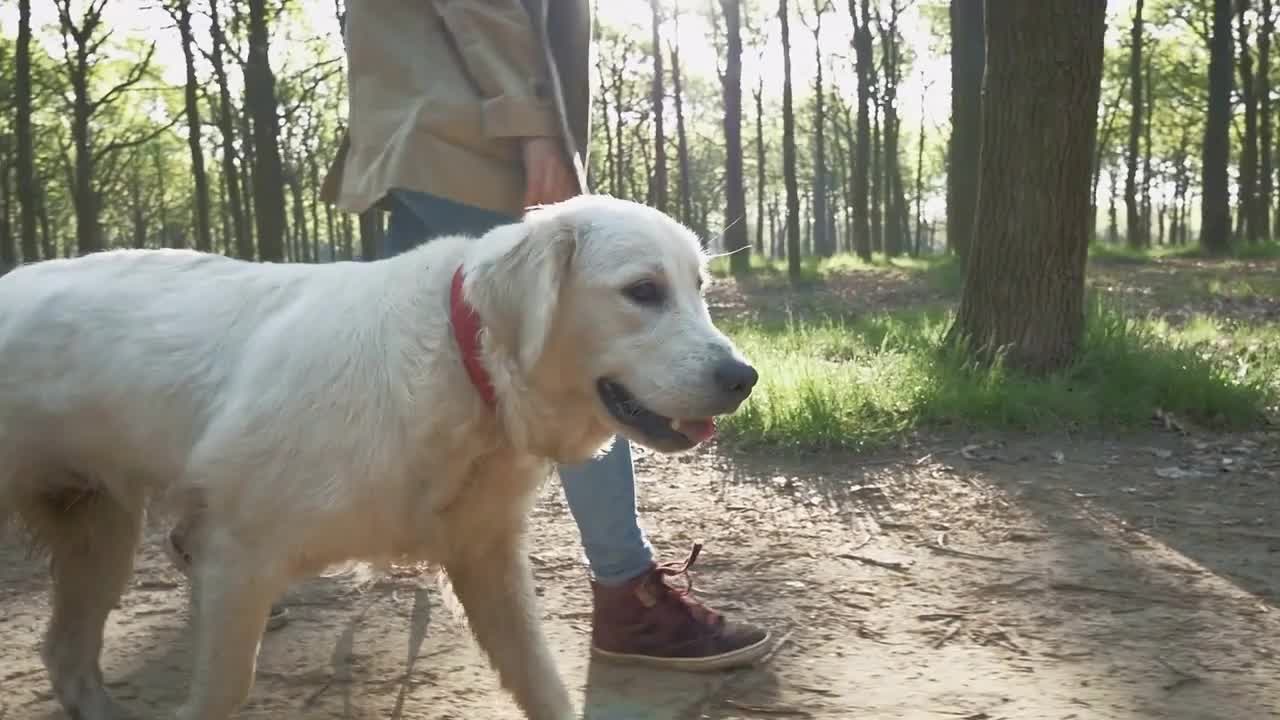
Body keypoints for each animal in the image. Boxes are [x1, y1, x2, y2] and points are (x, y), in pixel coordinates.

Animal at [0, 193, 757, 712]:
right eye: (642, 292)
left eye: (699, 289)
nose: (743, 377)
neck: (464, 366)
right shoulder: (237, 560)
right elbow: (224, 688)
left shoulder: (487, 563)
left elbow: (543, 685)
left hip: (99, 535)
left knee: (66, 656)